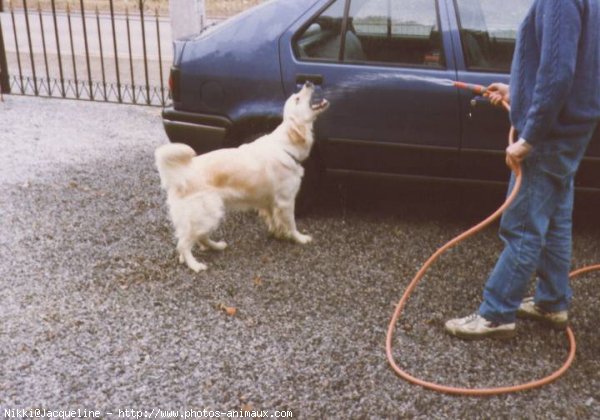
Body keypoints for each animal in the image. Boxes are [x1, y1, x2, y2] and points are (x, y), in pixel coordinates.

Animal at [155, 82, 330, 272]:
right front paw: (299, 238)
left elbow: (273, 218)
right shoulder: (286, 200)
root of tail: (181, 175)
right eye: (297, 98)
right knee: (184, 243)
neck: (285, 146)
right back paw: (195, 265)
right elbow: (291, 223)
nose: (308, 83)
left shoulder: (269, 201)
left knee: (198, 237)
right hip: (208, 213)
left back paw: (217, 246)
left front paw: (277, 233)